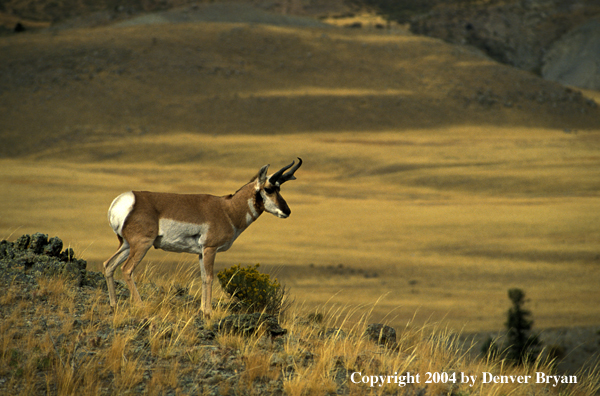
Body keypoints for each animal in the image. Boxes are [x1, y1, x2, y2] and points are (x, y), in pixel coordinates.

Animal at [104, 158, 304, 316]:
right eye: (269, 189)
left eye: (279, 188)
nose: (287, 211)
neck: (227, 209)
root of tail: (124, 199)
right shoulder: (210, 249)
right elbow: (209, 277)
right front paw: (208, 312)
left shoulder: (200, 253)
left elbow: (201, 277)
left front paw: (202, 309)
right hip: (141, 245)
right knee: (127, 270)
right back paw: (141, 306)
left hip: (126, 245)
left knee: (109, 265)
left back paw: (114, 306)